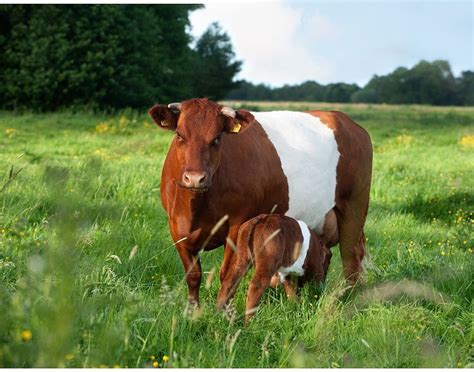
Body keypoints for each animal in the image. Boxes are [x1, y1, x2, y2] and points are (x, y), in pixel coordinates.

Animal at [150, 97, 372, 306]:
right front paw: (193, 312)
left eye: (217, 138)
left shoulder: (237, 224)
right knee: (326, 255)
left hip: (354, 206)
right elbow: (193, 276)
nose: (195, 178)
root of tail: (343, 119)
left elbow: (227, 274)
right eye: (179, 135)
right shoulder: (176, 228)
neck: (196, 209)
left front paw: (223, 311)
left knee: (351, 257)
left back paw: (351, 298)